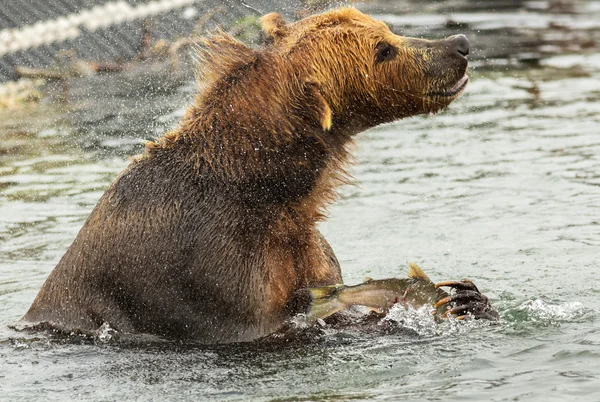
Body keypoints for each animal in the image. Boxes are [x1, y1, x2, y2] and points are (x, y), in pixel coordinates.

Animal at [18, 7, 488, 344]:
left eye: (386, 29)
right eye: (382, 49)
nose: (459, 44)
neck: (268, 189)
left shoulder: (302, 247)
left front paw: (470, 297)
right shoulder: (208, 270)